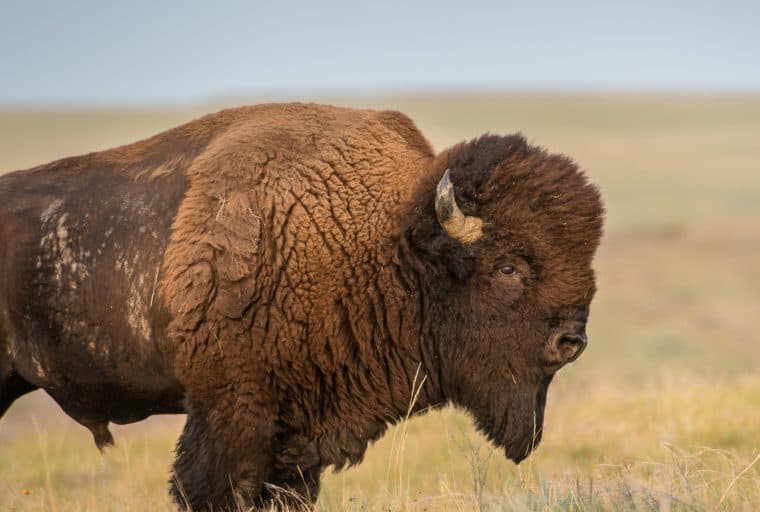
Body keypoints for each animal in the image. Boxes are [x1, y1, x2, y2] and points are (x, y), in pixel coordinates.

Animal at [0, 103, 603, 510]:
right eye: (507, 268)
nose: (570, 342)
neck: (379, 239)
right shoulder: (231, 414)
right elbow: (213, 489)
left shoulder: (296, 437)